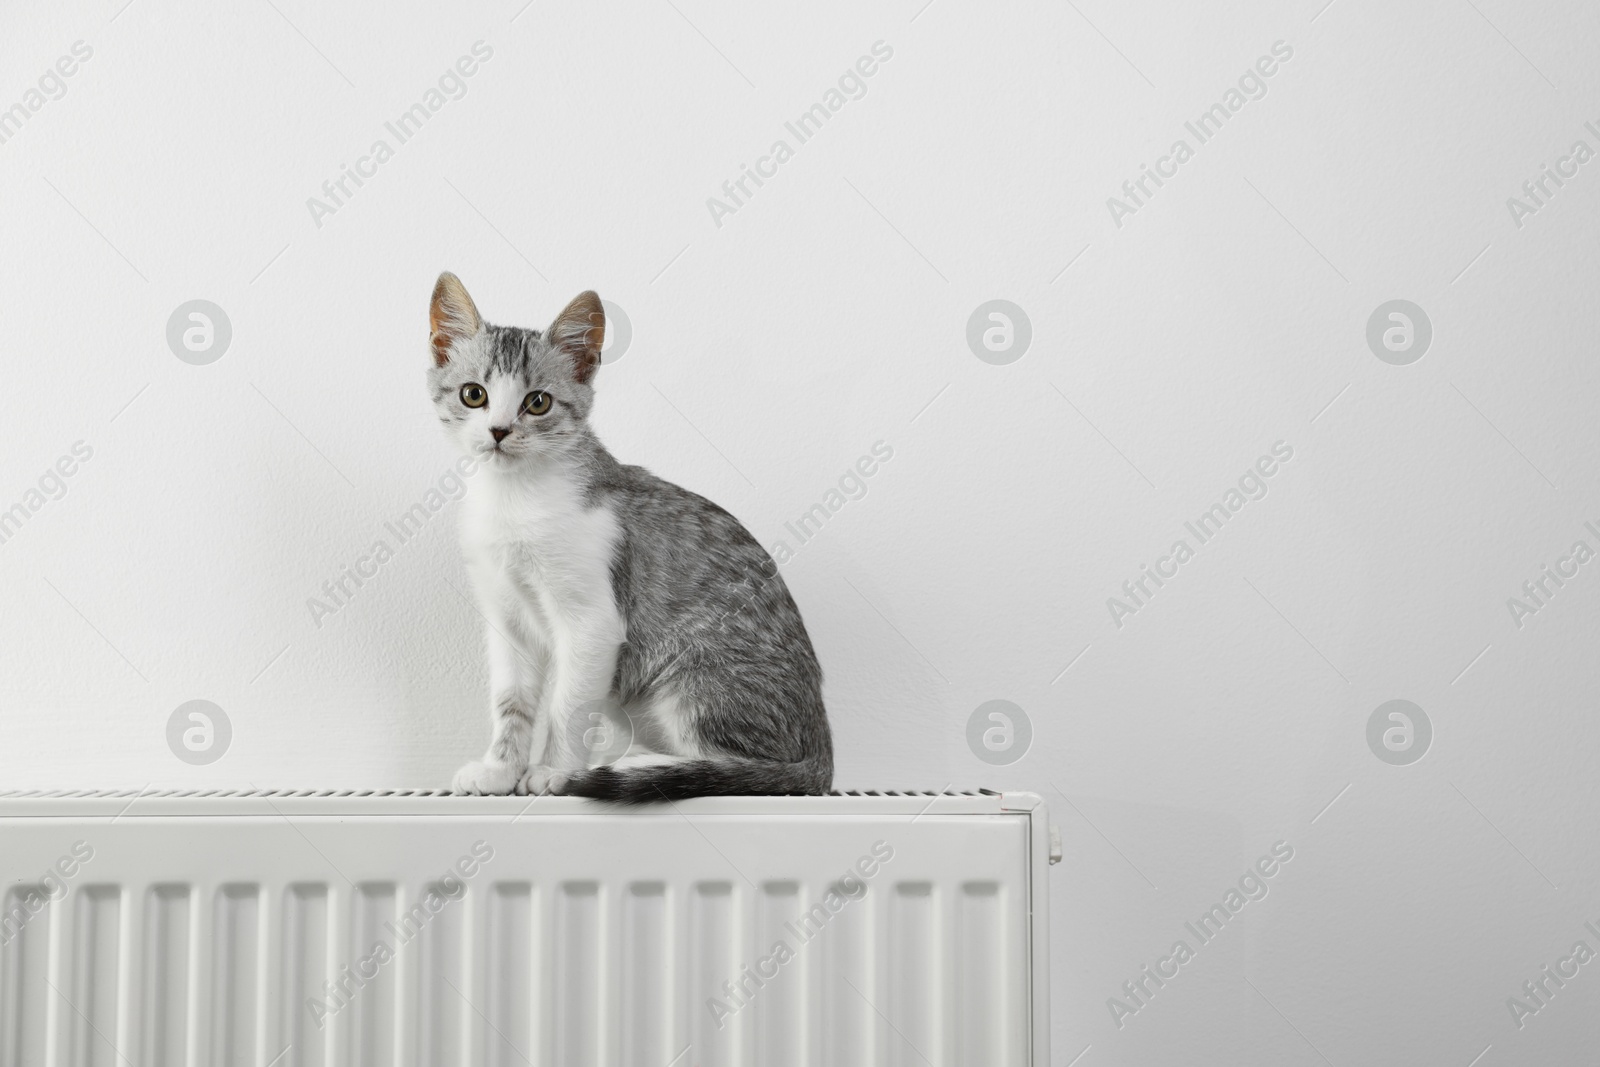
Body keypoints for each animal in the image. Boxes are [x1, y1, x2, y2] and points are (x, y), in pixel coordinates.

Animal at [428, 275, 838, 799]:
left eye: (537, 402)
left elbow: (568, 704)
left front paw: (554, 771)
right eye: (473, 395)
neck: (514, 497)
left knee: (740, 769)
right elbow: (511, 702)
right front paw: (499, 770)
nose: (499, 431)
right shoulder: (507, 617)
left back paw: (638, 766)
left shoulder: (593, 623)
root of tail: (822, 750)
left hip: (693, 675)